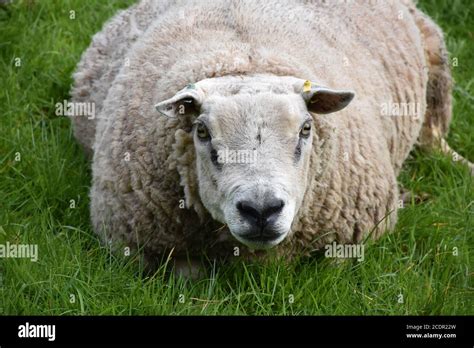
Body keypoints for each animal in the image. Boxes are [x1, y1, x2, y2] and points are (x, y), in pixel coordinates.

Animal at [70, 0, 474, 270]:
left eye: (306, 129)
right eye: (202, 131)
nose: (261, 210)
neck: (245, 61)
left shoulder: (353, 237)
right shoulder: (139, 248)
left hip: (435, 64)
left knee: (434, 138)